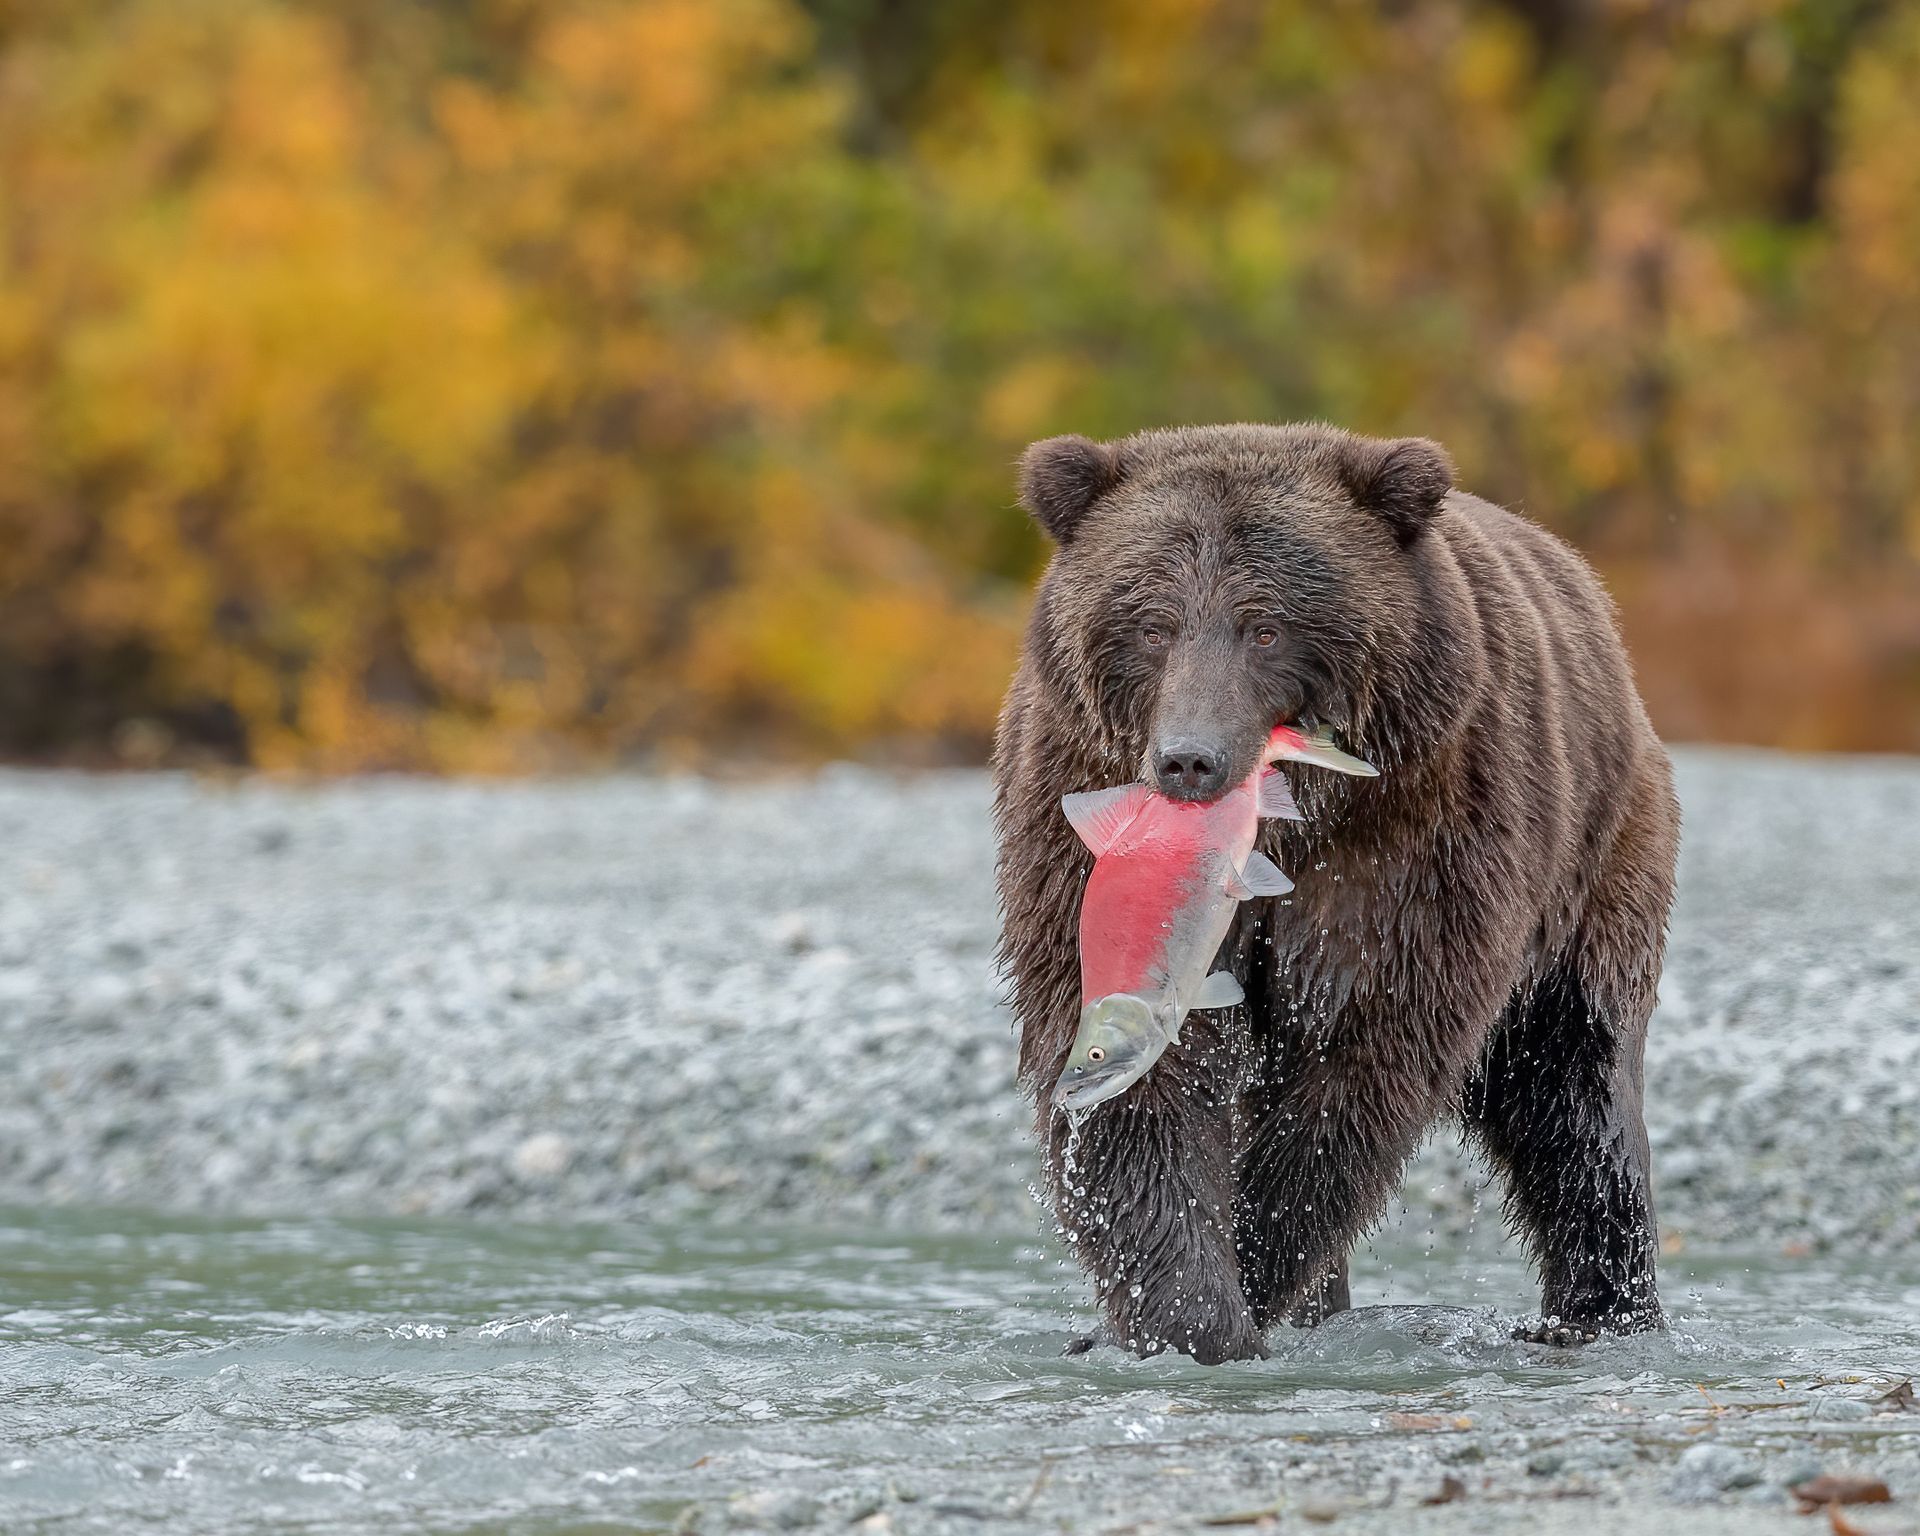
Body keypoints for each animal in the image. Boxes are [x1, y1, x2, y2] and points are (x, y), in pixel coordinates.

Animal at [991, 422, 1679, 1365]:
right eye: (1154, 624)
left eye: (1266, 627)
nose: (1190, 759)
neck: (1284, 826)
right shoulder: (1080, 829)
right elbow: (1149, 1082)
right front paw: (1187, 1313)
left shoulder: (1412, 844)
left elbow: (1359, 1058)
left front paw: (1246, 1279)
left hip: (1595, 864)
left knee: (1576, 1094)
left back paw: (1596, 1314)